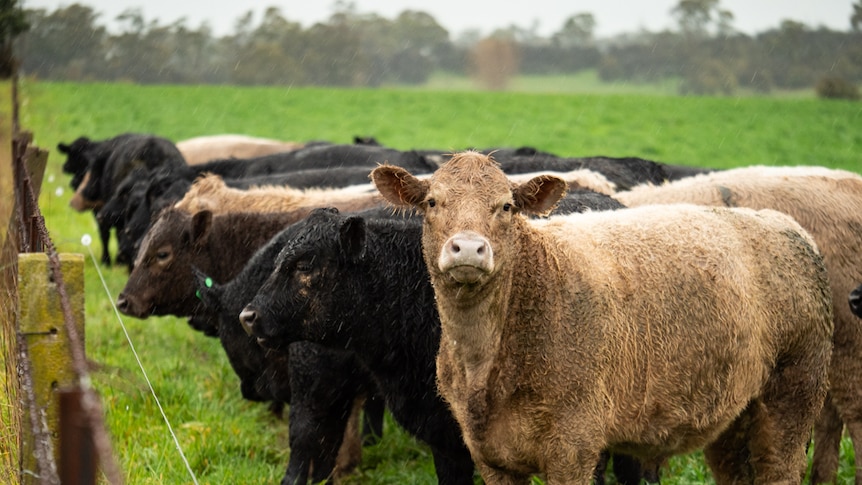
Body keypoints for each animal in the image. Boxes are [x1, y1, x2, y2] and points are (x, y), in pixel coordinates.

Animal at [372, 151, 836, 484]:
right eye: (432, 202)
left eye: (505, 206)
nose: (468, 248)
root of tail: (786, 227)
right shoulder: (490, 455)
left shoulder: (573, 448)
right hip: (732, 415)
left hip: (794, 394)